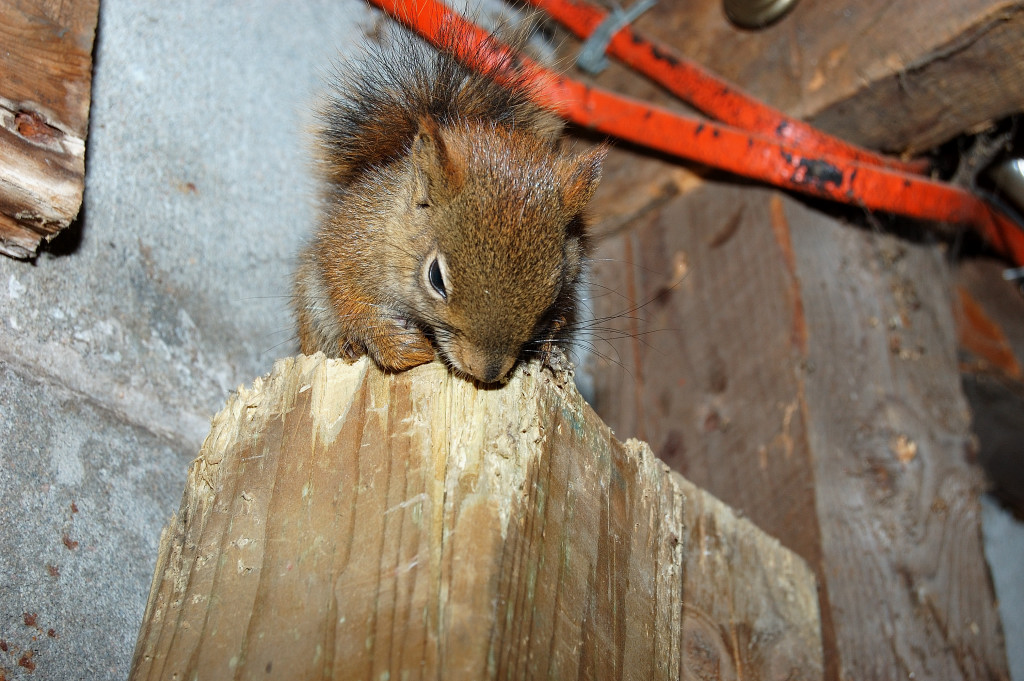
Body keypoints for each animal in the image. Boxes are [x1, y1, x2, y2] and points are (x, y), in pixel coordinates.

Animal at [293, 19, 605, 384]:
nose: (487, 372)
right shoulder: (351, 243)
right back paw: (349, 346)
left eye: (554, 290)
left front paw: (549, 345)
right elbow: (349, 298)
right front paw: (396, 345)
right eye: (436, 278)